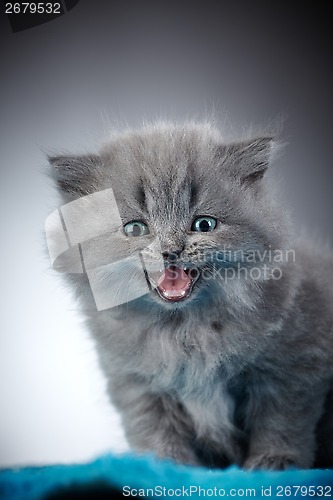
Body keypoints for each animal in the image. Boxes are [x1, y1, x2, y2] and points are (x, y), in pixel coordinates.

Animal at [47, 121, 332, 468]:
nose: (171, 250)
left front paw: (275, 461)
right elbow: (155, 430)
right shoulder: (137, 384)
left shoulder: (294, 365)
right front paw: (164, 466)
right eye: (135, 229)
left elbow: (282, 421)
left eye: (204, 224)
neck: (184, 330)